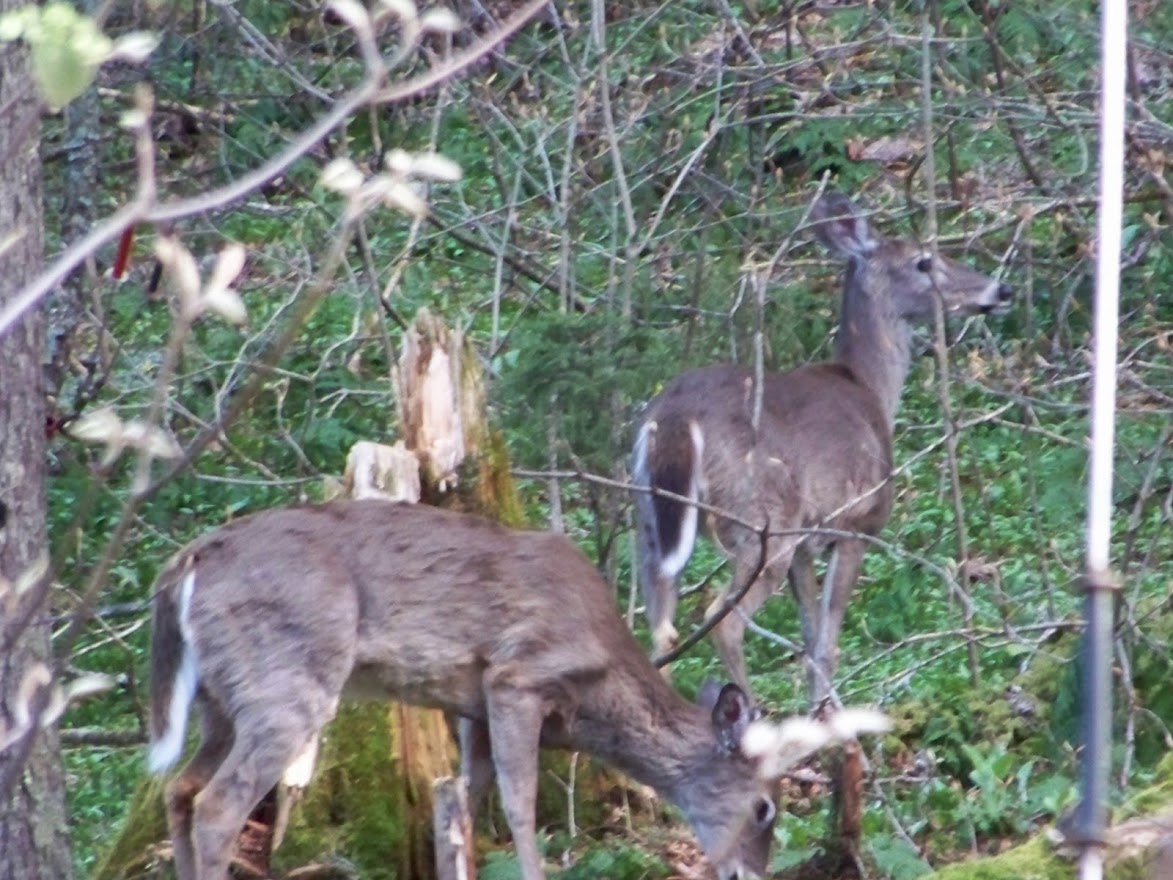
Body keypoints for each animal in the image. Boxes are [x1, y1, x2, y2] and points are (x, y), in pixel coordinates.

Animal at [144, 499, 882, 880]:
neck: (598, 689)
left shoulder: (469, 703)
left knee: (178, 789)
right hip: (286, 676)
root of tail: (185, 562)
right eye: (763, 809)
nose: (749, 874)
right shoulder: (517, 676)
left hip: (220, 697)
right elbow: (519, 804)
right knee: (217, 804)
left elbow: (464, 804)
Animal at [638, 191, 1013, 704]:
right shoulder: (854, 524)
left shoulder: (805, 546)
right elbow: (827, 644)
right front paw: (825, 711)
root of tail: (677, 418)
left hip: (648, 522)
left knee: (660, 629)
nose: (1000, 290)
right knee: (722, 621)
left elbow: (809, 634)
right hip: (761, 522)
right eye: (924, 261)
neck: (871, 389)